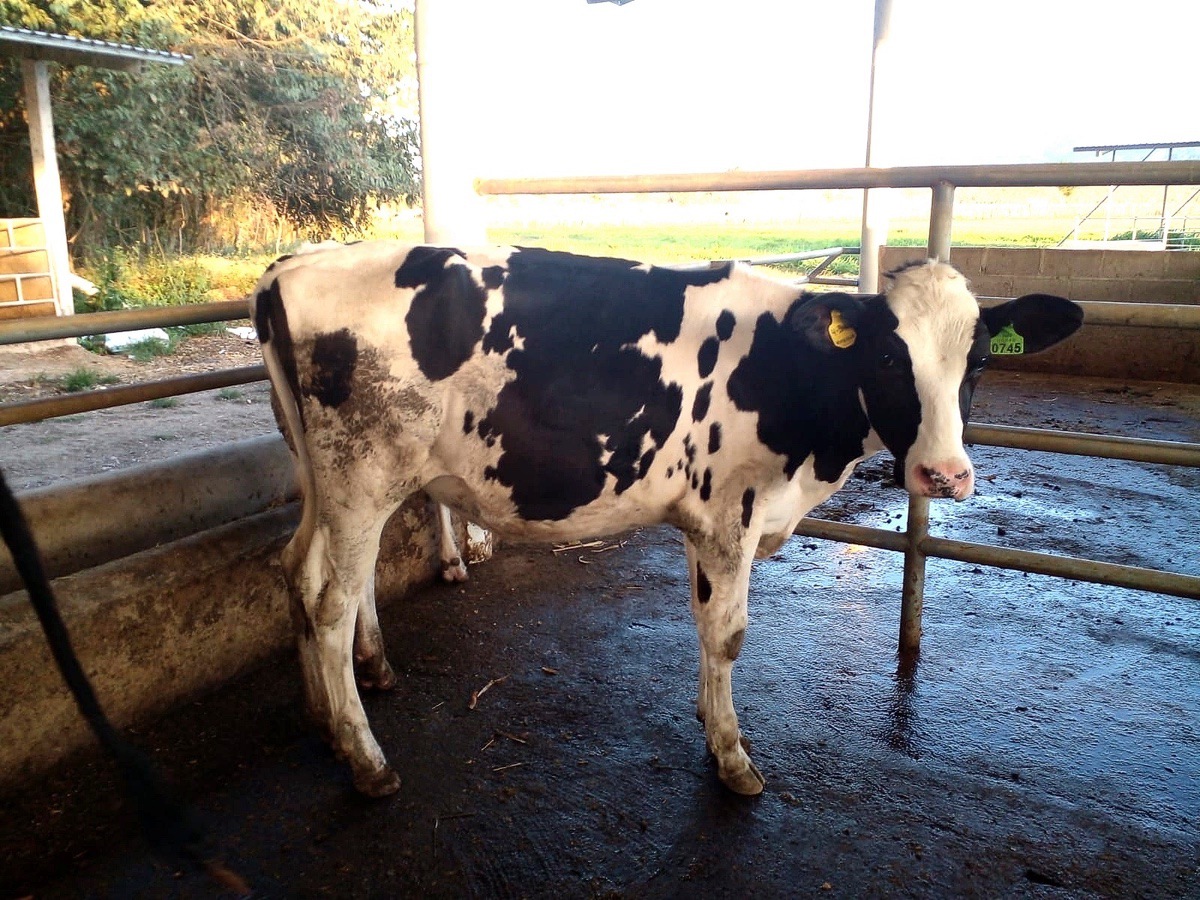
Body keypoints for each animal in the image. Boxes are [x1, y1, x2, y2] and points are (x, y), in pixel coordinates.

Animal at [248, 244, 1084, 796]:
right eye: (886, 358)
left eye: (980, 361)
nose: (944, 474)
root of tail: (292, 266)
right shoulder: (729, 513)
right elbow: (729, 634)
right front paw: (733, 758)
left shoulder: (703, 518)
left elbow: (706, 626)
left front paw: (709, 721)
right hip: (363, 476)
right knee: (331, 600)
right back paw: (365, 759)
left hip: (322, 477)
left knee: (301, 570)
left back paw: (334, 712)